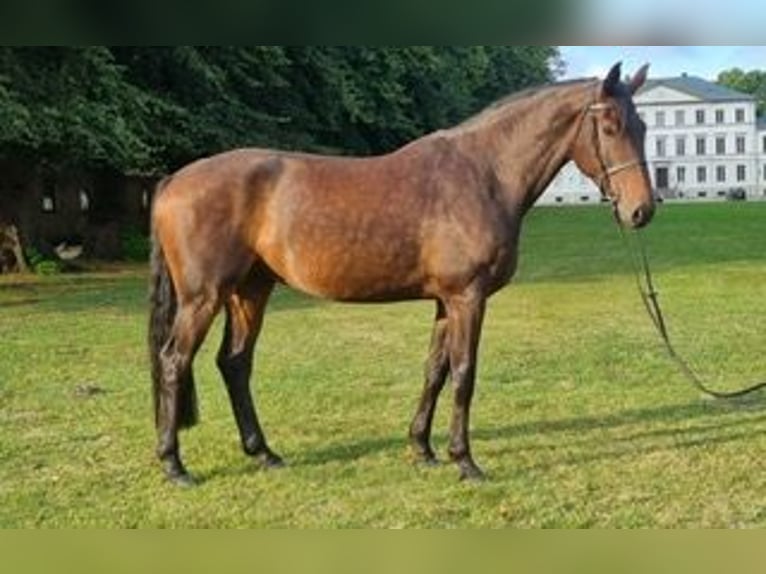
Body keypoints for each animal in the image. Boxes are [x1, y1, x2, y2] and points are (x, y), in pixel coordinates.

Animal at [148, 62, 656, 486]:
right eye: (609, 126)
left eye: (645, 126)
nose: (641, 211)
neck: (484, 174)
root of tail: (173, 181)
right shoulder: (467, 297)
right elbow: (464, 373)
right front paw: (464, 461)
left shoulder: (445, 302)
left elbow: (435, 370)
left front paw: (423, 449)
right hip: (204, 297)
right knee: (174, 361)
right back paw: (174, 465)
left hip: (250, 291)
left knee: (234, 363)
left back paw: (264, 453)